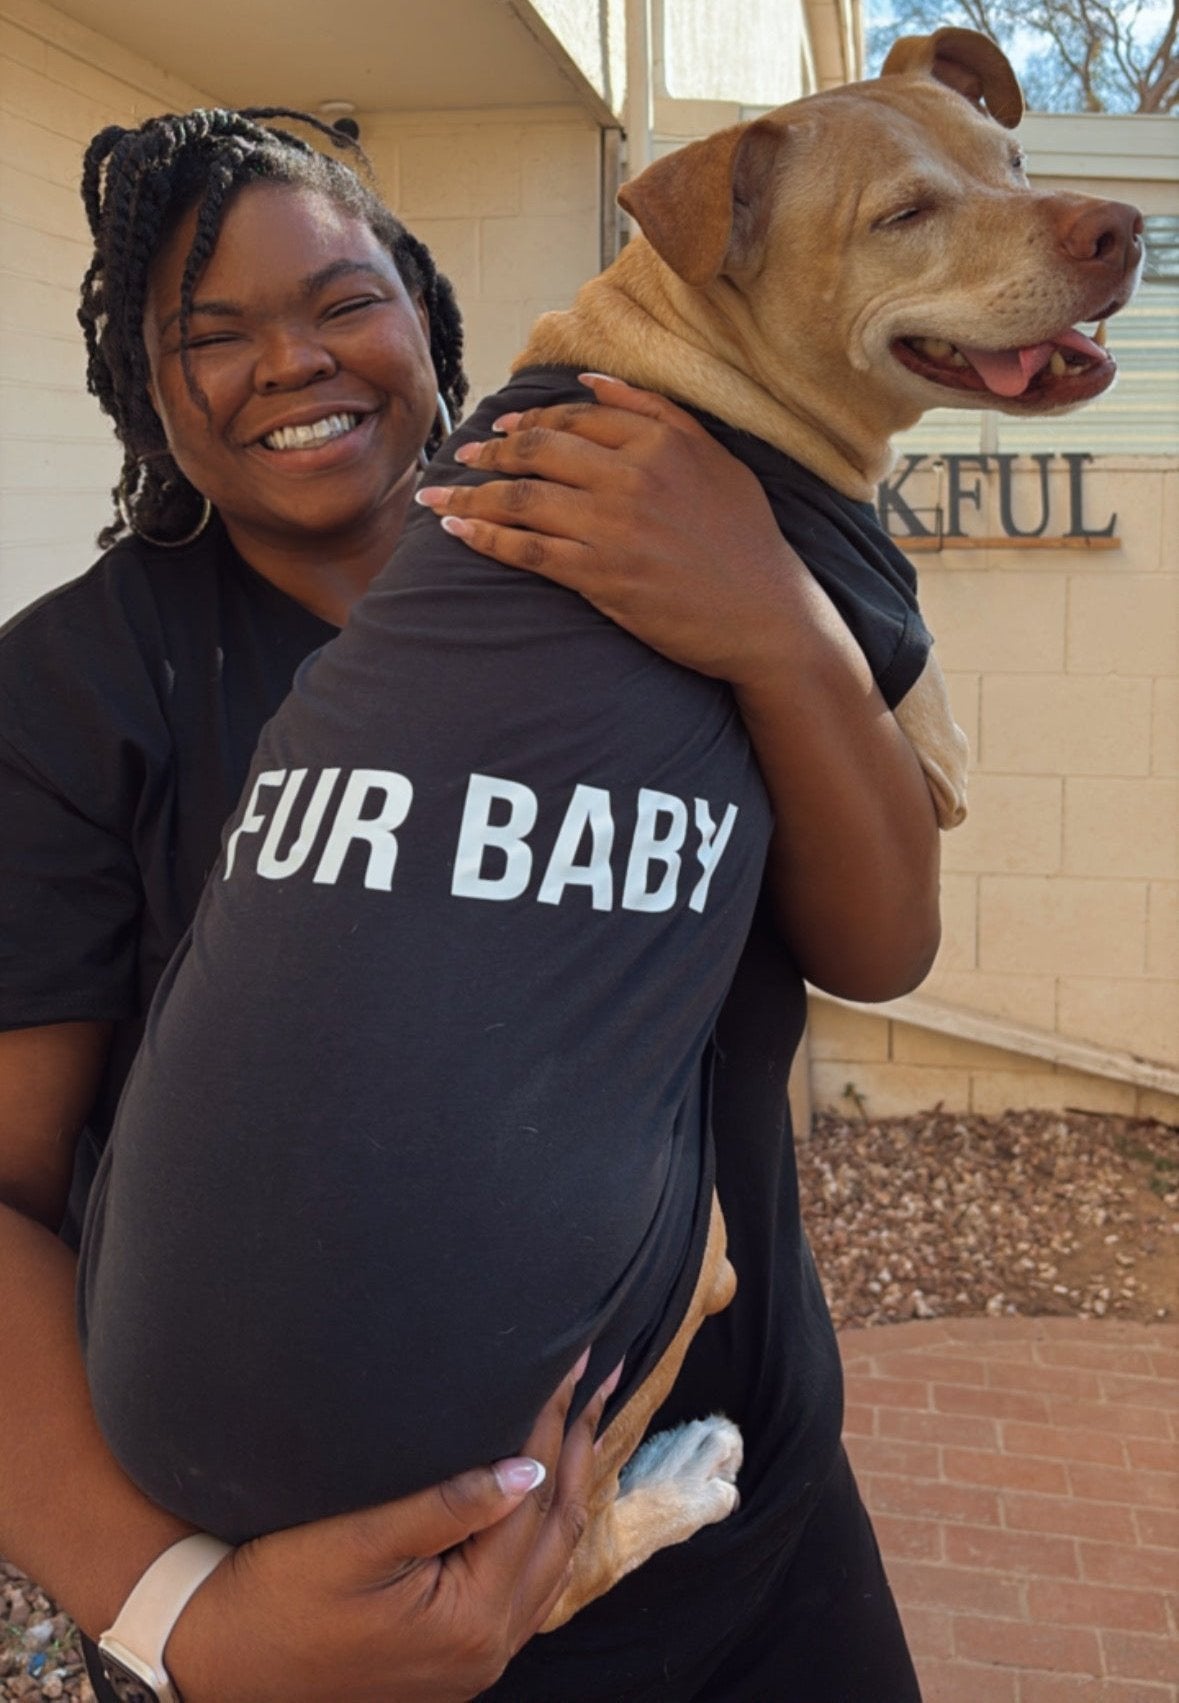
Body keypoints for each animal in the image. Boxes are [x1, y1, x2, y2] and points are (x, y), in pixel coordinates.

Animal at [538, 23, 1138, 1621]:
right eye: (904, 215)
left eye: (1015, 163)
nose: (1121, 226)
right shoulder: (887, 673)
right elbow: (915, 696)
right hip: (679, 1260)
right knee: (545, 1553)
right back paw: (674, 1484)